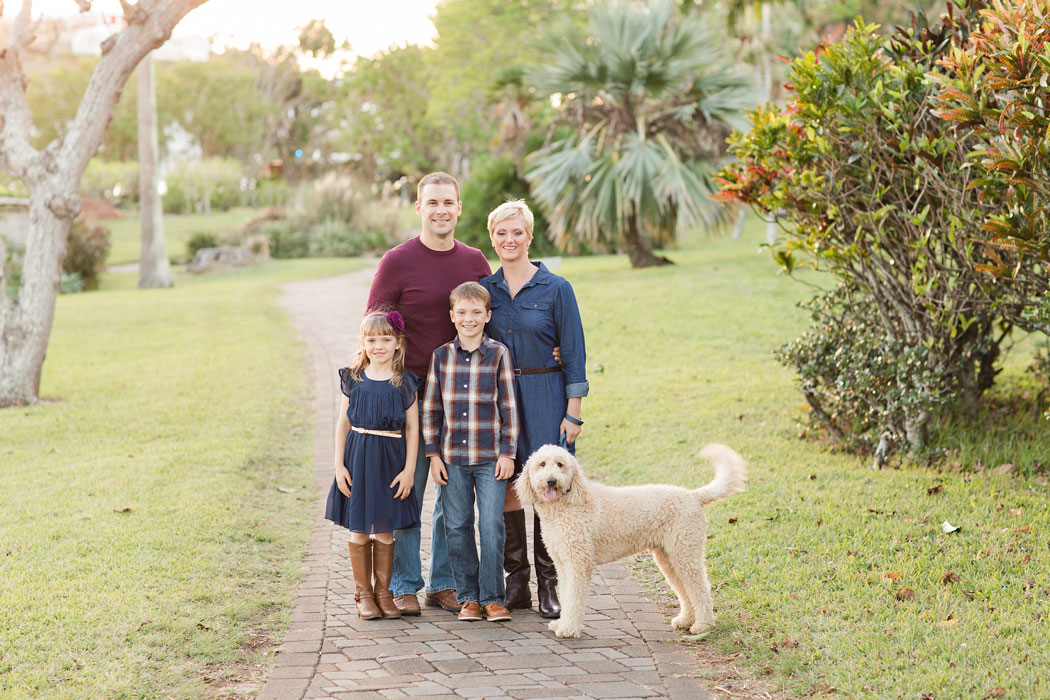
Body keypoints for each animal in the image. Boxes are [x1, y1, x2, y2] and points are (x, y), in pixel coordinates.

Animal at [516, 447, 747, 638]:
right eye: (542, 464)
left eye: (560, 464)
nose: (551, 481)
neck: (568, 503)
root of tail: (692, 495)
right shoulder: (563, 563)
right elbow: (565, 595)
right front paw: (562, 623)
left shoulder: (578, 563)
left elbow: (573, 598)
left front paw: (568, 629)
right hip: (669, 557)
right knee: (685, 590)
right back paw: (685, 620)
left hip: (685, 552)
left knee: (700, 589)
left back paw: (703, 625)